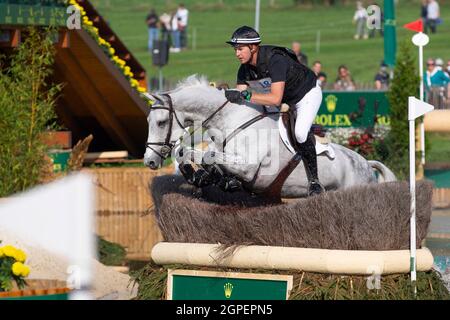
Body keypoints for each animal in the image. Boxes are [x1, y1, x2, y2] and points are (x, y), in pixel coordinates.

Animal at [143, 76, 394, 199]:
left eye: (161, 122)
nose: (149, 161)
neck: (231, 119)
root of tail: (366, 163)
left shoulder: (249, 167)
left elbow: (205, 155)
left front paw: (205, 175)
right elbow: (191, 153)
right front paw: (200, 176)